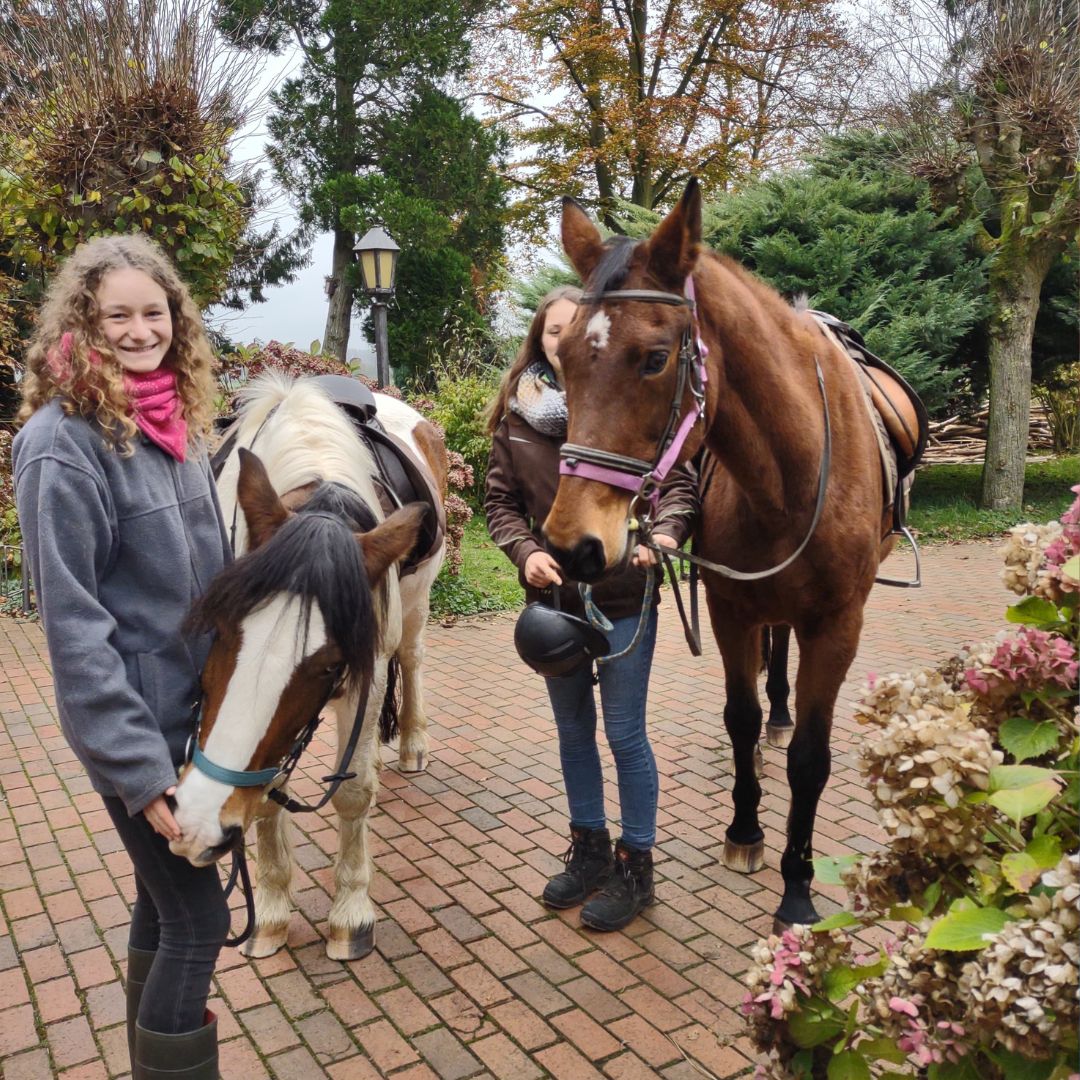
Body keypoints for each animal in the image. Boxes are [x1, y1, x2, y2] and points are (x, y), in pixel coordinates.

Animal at [167, 375, 442, 959]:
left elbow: (355, 793)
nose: (197, 820)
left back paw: (412, 745)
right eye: (219, 627)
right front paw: (271, 910)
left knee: (411, 657)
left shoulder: (366, 669)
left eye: (330, 663)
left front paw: (351, 914)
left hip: (417, 604)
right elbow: (268, 795)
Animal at [544, 181, 898, 924]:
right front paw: (744, 831)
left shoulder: (838, 625)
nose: (573, 545)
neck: (791, 478)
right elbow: (740, 718)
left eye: (654, 358)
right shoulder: (732, 606)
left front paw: (798, 885)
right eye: (562, 361)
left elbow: (812, 759)